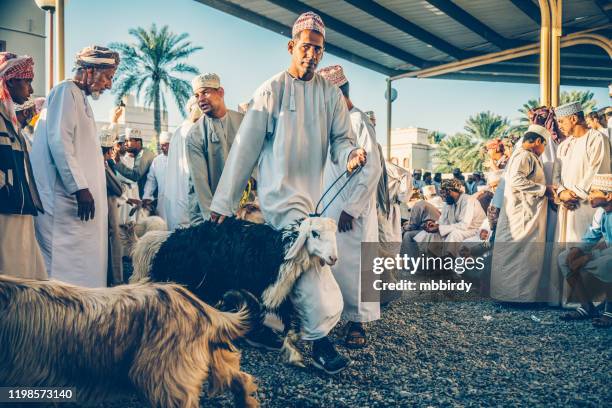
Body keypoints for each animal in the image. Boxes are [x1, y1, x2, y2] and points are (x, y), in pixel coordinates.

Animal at [130, 217, 340, 366]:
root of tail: (167, 240)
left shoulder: (277, 293)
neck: (279, 251)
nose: (333, 258)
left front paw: (292, 351)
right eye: (315, 233)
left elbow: (290, 320)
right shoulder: (255, 287)